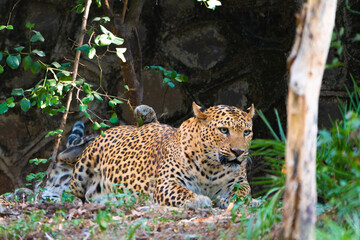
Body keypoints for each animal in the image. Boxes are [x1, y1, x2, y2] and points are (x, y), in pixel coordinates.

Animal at [69, 102, 256, 208]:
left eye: (246, 132)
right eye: (224, 130)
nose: (239, 152)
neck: (212, 167)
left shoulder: (239, 182)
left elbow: (242, 191)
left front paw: (240, 200)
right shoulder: (166, 184)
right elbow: (183, 192)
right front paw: (198, 200)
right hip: (81, 170)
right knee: (74, 193)